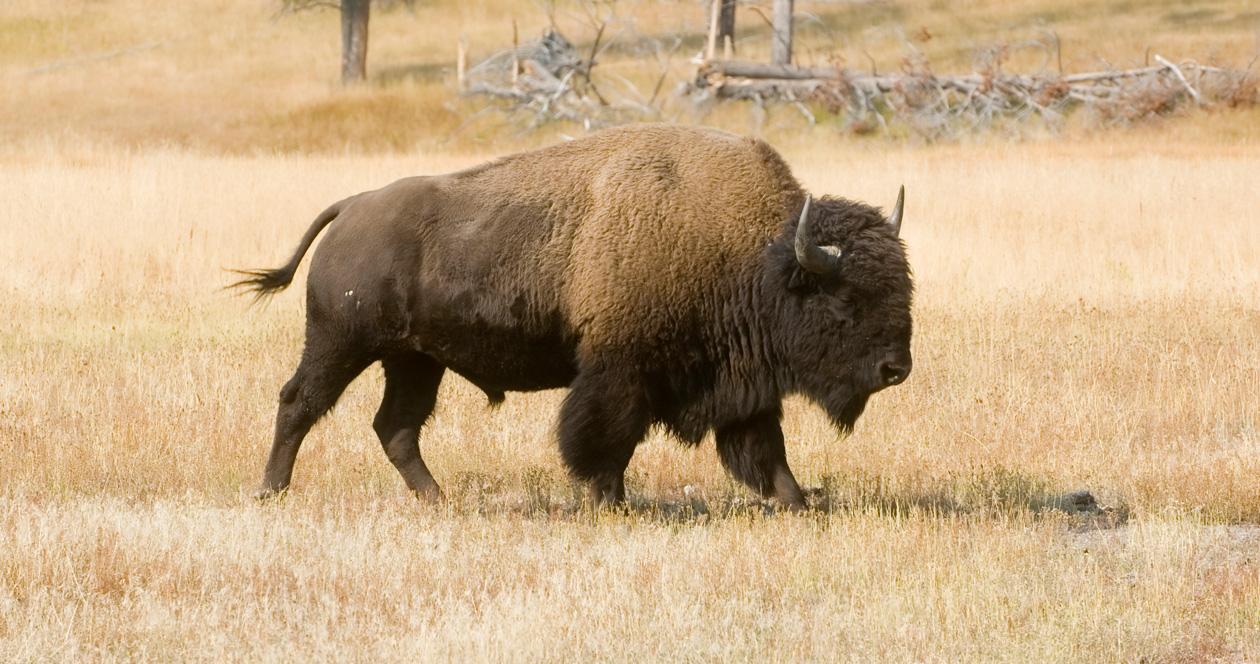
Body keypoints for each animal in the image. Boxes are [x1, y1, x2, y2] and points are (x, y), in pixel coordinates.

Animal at [234, 124, 913, 509]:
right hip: (341, 343)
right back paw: (271, 491)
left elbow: (764, 446)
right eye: (845, 301)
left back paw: (439, 501)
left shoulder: (740, 384)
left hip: (415, 360)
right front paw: (608, 502)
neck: (753, 253)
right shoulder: (620, 371)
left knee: (396, 427)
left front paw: (797, 501)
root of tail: (353, 207)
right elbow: (603, 438)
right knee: (299, 402)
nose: (896, 368)